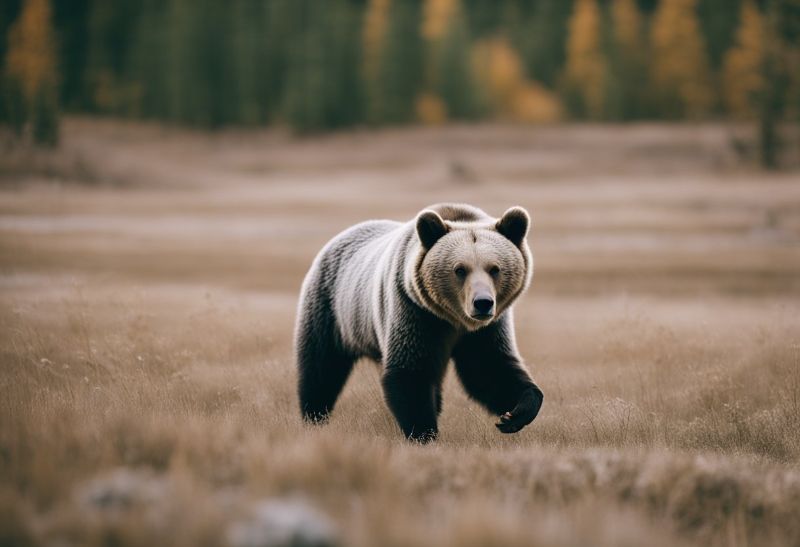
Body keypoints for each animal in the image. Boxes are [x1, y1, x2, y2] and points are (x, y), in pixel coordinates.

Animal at [294, 203, 544, 444]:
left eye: (495, 269)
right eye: (459, 269)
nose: (482, 303)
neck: (453, 320)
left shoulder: (486, 329)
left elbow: (490, 368)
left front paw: (515, 414)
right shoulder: (413, 311)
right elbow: (410, 373)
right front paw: (423, 434)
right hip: (333, 309)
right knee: (321, 367)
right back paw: (314, 416)